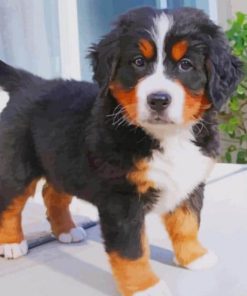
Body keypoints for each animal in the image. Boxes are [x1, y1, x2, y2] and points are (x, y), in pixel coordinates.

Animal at [0, 6, 242, 296]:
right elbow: (131, 249)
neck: (167, 136)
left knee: (52, 193)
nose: (158, 100)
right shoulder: (121, 198)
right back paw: (11, 243)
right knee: (10, 204)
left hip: (63, 161)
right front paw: (145, 286)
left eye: (186, 64)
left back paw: (66, 230)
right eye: (138, 62)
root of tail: (30, 83)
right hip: (17, 166)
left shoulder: (190, 182)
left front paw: (194, 257)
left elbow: (187, 223)